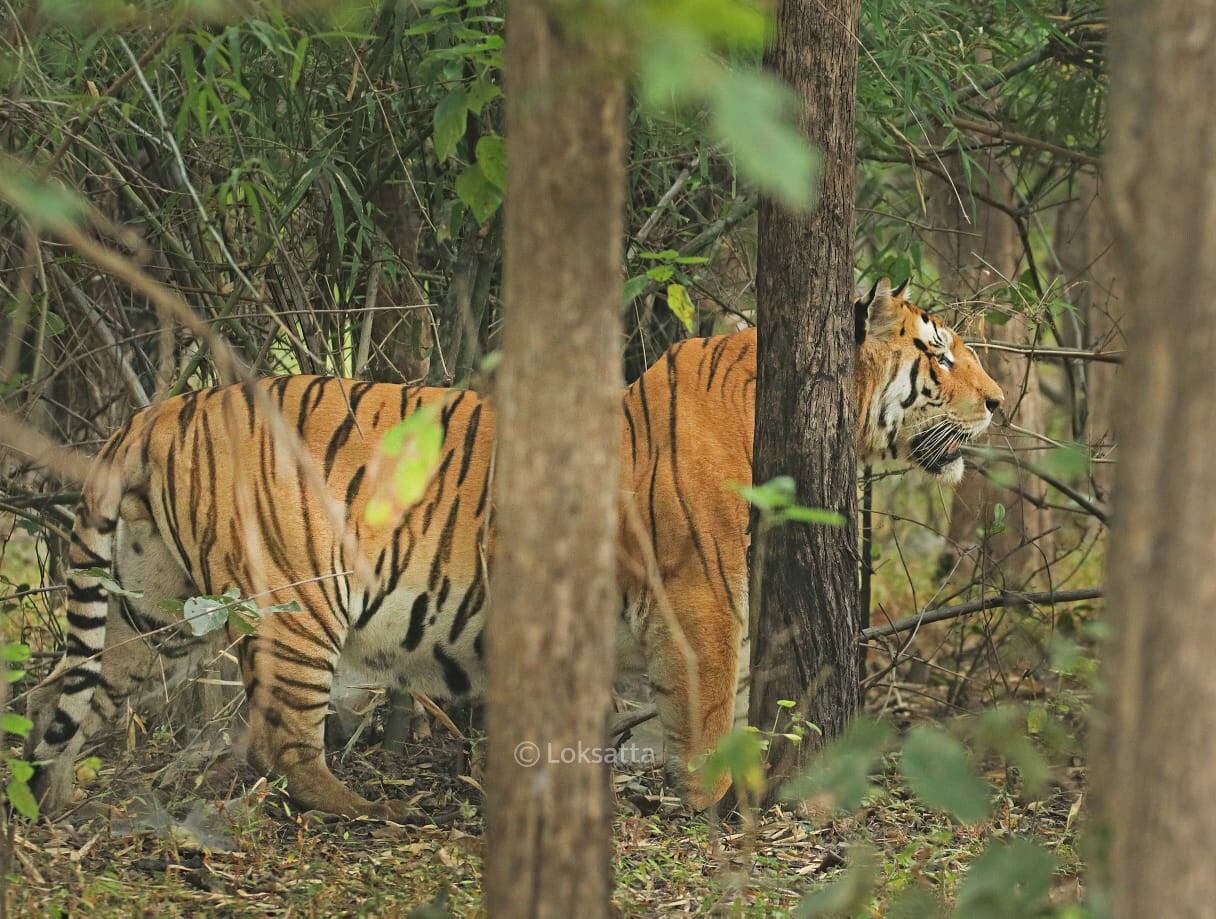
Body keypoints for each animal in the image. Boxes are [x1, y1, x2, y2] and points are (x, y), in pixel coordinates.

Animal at [28, 274, 1001, 816]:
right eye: (941, 356)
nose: (998, 401)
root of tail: (162, 411)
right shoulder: (701, 597)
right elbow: (710, 708)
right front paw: (716, 800)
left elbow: (678, 712)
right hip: (298, 597)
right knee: (279, 735)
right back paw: (358, 807)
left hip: (145, 613)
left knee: (58, 699)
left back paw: (48, 800)